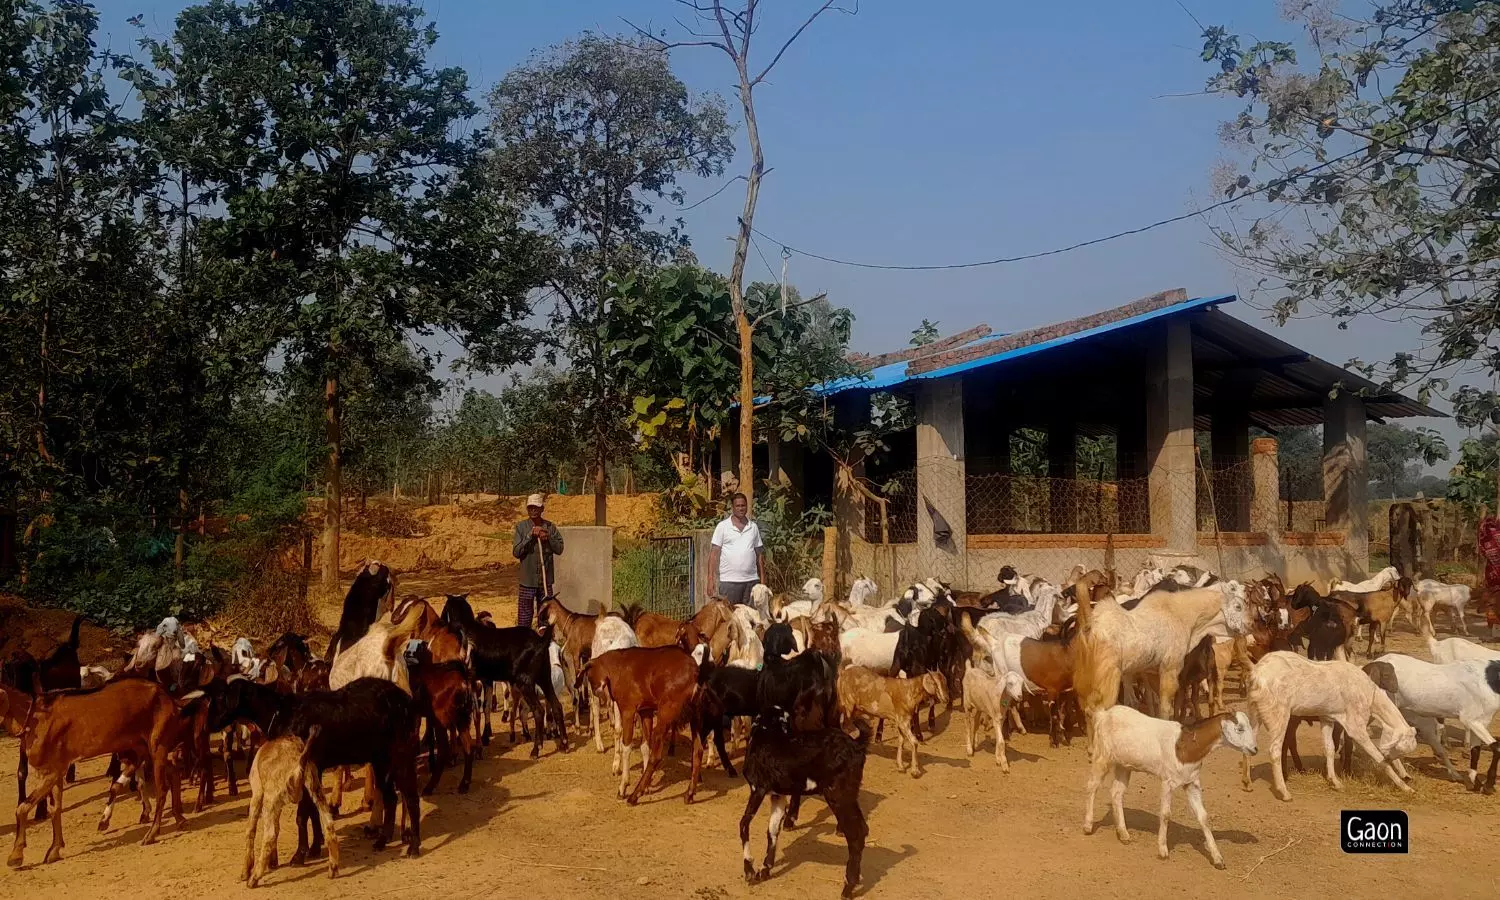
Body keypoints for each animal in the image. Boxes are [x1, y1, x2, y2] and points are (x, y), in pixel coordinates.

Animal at [240, 723, 340, 888]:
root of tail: (298, 761)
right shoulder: (277, 804)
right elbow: (277, 827)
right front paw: (273, 862)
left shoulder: (257, 793)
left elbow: (251, 830)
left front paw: (245, 871)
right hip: (315, 788)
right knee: (329, 825)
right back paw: (333, 869)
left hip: (269, 798)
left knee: (269, 835)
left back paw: (253, 878)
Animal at [738, 711, 870, 894]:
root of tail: (857, 746)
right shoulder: (777, 795)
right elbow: (772, 830)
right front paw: (764, 870)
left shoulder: (758, 788)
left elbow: (744, 824)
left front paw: (749, 869)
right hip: (849, 796)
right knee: (863, 829)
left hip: (838, 795)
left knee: (855, 834)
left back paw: (848, 888)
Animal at [1086, 708, 1260, 870]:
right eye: (1240, 728)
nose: (1255, 749)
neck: (1186, 745)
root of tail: (1104, 714)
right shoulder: (1167, 782)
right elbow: (1165, 814)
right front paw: (1163, 850)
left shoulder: (1192, 782)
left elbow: (1203, 817)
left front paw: (1217, 858)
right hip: (1103, 755)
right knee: (1092, 786)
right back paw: (1088, 826)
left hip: (1124, 764)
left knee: (1116, 792)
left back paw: (1123, 834)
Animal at [1242, 651, 1416, 798]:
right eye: (1400, 748)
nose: (1390, 758)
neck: (1370, 694)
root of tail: (1257, 674)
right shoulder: (1355, 725)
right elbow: (1376, 755)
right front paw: (1405, 787)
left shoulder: (1327, 718)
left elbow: (1330, 748)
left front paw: (1335, 782)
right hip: (1279, 713)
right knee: (1275, 749)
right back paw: (1284, 791)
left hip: (1254, 710)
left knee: (1249, 743)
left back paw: (1247, 783)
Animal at [1374, 651, 1500, 792]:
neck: (1488, 679)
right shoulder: (1472, 720)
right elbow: (1496, 747)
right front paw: (1488, 785)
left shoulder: (1480, 722)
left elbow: (1476, 750)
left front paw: (1476, 783)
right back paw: (1404, 775)